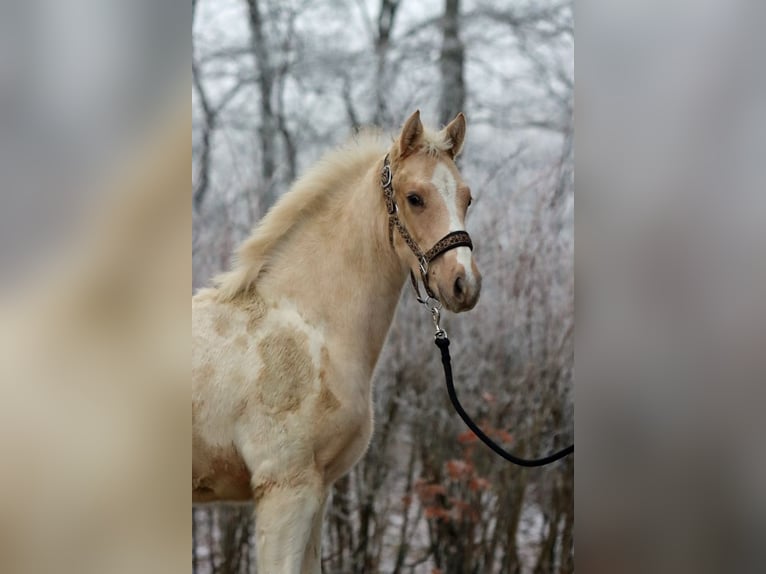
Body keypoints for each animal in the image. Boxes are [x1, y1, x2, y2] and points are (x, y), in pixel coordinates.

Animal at [194, 110, 480, 572]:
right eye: (415, 198)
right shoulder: (286, 490)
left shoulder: (319, 491)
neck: (311, 327)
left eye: (468, 198)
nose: (464, 284)